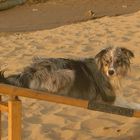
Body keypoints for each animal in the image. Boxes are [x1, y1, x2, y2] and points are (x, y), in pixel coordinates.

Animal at [0, 46, 139, 109]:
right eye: (107, 62)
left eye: (118, 62)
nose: (111, 72)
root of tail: (27, 72)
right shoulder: (107, 98)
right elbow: (128, 103)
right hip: (68, 73)